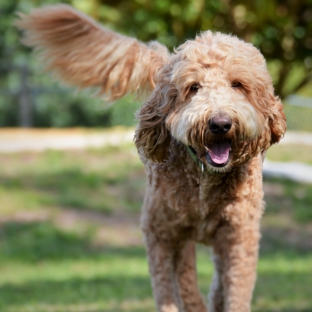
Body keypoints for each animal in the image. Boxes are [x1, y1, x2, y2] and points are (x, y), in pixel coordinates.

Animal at [15, 5, 286, 312]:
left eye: (238, 85)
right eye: (193, 87)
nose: (219, 123)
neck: (204, 180)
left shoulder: (240, 236)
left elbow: (236, 290)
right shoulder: (163, 233)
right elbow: (176, 287)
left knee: (217, 277)